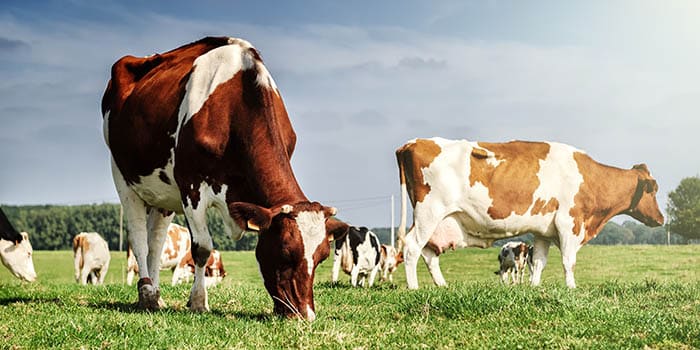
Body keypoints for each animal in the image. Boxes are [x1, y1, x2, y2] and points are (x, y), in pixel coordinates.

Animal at [102, 36, 348, 320]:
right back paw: (147, 294)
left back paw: (157, 295)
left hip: (163, 194)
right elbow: (202, 247)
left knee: (156, 242)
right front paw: (199, 301)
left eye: (322, 256)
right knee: (139, 239)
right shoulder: (191, 186)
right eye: (285, 251)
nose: (305, 315)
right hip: (122, 176)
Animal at [396, 138, 664, 288]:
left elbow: (539, 262)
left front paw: (534, 288)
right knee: (412, 247)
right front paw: (572, 288)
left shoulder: (543, 231)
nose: (661, 218)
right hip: (429, 213)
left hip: (439, 221)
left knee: (429, 253)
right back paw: (414, 288)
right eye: (653, 189)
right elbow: (569, 261)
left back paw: (442, 286)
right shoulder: (569, 223)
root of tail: (412, 143)